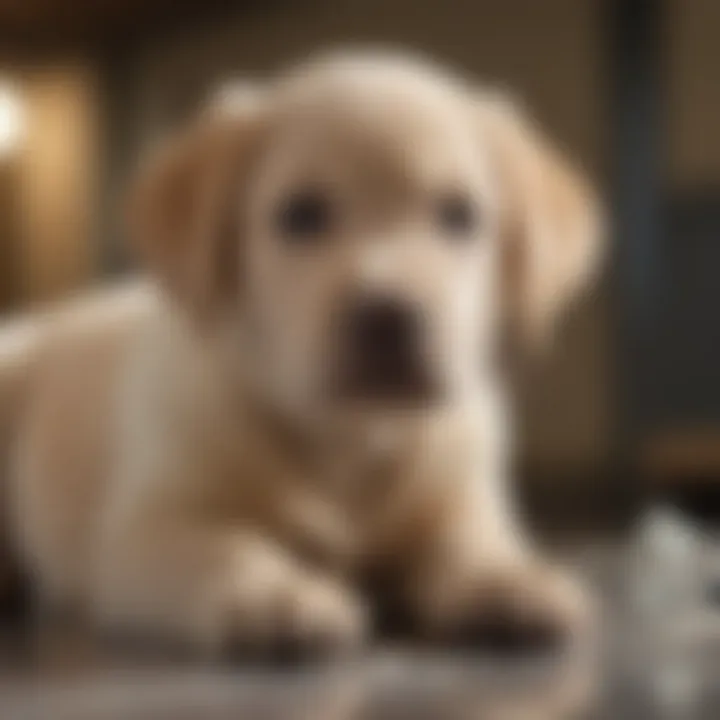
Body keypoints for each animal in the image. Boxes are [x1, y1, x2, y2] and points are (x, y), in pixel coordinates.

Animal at [0, 53, 600, 656]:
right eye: (301, 214)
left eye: (459, 215)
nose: (388, 317)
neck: (349, 439)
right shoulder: (149, 528)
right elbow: (227, 549)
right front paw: (273, 595)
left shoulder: (460, 495)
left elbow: (470, 541)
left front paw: (506, 579)